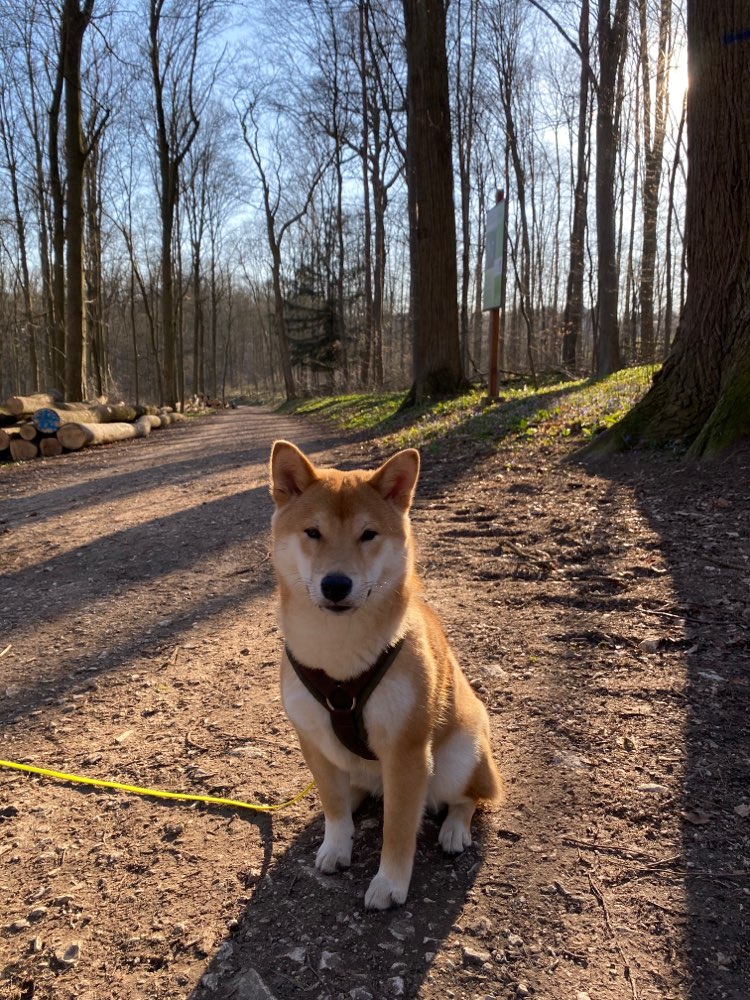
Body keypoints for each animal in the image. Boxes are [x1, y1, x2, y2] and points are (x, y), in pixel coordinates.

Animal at [270, 442, 506, 912]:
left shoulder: (406, 751)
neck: (339, 659)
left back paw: (454, 828)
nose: (336, 584)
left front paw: (390, 883)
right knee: (354, 791)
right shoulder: (312, 741)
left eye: (368, 535)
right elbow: (333, 805)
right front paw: (336, 845)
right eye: (313, 532)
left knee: (468, 797)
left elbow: (397, 827)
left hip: (459, 756)